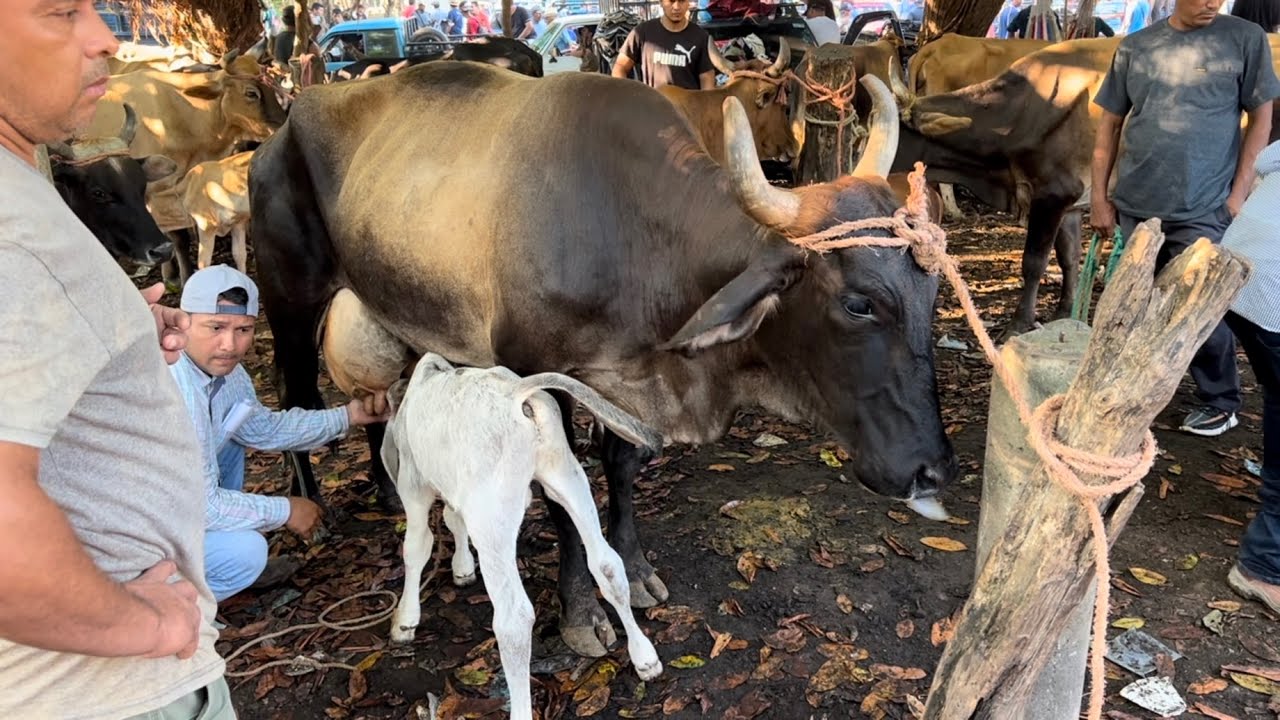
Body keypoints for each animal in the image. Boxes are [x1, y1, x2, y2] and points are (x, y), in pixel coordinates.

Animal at [249, 62, 957, 659]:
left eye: (933, 289)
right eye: (859, 303)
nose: (933, 471)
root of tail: (283, 124)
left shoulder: (621, 385)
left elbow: (620, 467)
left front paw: (636, 570)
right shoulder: (539, 377)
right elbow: (565, 502)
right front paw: (581, 614)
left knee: (383, 402)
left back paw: (393, 493)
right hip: (290, 299)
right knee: (295, 394)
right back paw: (310, 512)